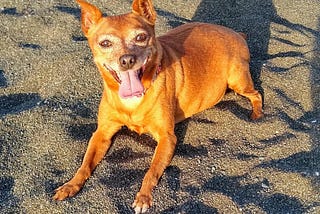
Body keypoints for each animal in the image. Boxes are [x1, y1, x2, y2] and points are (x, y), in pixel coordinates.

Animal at [52, 0, 262, 213]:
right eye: (105, 43)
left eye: (141, 37)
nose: (127, 60)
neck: (133, 100)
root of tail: (236, 33)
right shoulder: (102, 133)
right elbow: (85, 164)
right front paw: (70, 185)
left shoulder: (167, 138)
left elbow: (151, 171)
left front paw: (143, 197)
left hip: (238, 80)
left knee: (256, 94)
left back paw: (256, 114)